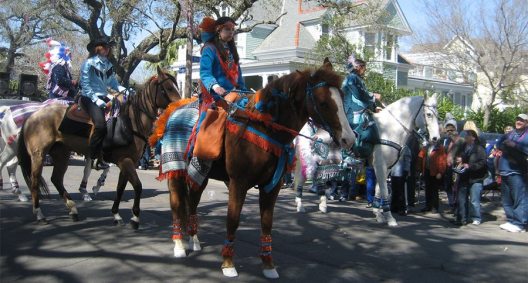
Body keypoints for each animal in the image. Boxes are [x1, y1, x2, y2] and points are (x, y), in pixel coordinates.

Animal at [18, 67, 182, 231]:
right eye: (168, 88)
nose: (180, 105)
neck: (130, 123)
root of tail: (33, 115)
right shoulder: (125, 160)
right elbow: (137, 186)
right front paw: (135, 218)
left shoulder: (126, 162)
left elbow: (120, 188)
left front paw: (116, 215)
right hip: (38, 154)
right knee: (35, 181)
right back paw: (40, 214)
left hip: (62, 153)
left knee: (56, 179)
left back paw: (73, 209)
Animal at [155, 59, 356, 280]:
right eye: (323, 103)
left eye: (342, 98)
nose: (349, 139)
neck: (266, 127)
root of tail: (173, 111)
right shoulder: (238, 183)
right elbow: (232, 220)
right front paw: (228, 263)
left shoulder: (272, 186)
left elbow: (267, 223)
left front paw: (268, 265)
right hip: (176, 170)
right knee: (176, 204)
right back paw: (179, 245)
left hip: (202, 172)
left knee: (192, 201)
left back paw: (194, 240)